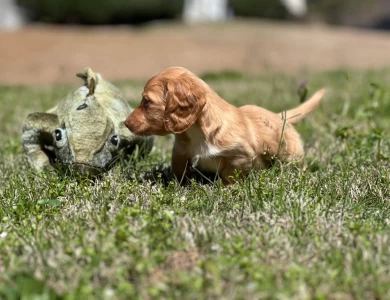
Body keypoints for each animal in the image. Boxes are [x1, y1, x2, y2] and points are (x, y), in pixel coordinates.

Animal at [125, 67, 326, 185]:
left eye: (147, 102)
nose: (125, 123)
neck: (198, 132)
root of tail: (280, 116)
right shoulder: (180, 152)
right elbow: (180, 170)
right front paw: (181, 185)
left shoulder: (241, 155)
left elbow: (230, 174)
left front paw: (225, 188)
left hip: (291, 155)